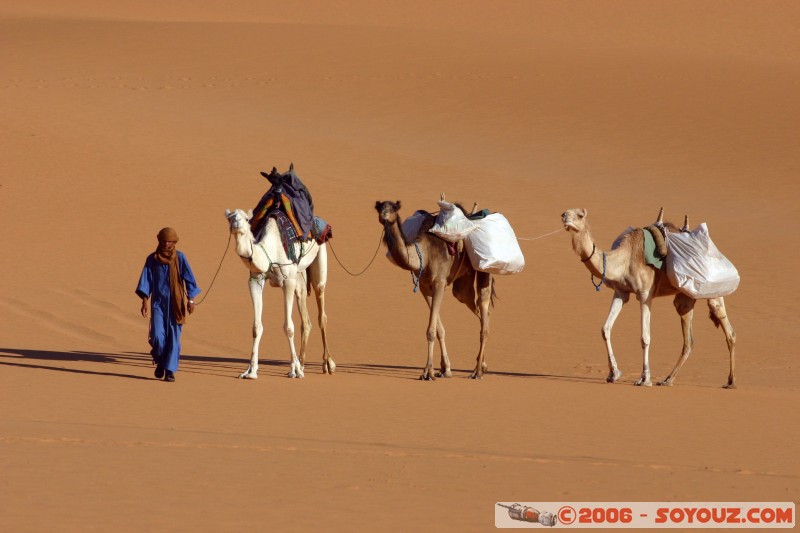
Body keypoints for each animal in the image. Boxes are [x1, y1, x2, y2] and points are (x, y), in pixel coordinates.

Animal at [224, 208, 334, 379]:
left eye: (246, 219)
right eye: (229, 218)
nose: (236, 223)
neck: (270, 250)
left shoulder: (287, 281)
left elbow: (289, 327)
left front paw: (294, 370)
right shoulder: (255, 280)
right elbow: (256, 328)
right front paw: (250, 371)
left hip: (320, 255)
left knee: (321, 306)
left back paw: (327, 364)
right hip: (299, 275)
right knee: (305, 317)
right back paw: (302, 364)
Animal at [375, 200, 495, 380]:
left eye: (393, 208)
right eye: (380, 207)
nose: (384, 215)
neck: (425, 254)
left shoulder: (439, 282)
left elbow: (431, 330)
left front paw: (427, 372)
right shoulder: (425, 287)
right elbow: (439, 329)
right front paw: (444, 369)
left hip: (483, 269)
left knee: (484, 309)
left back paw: (477, 371)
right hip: (463, 284)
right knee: (478, 310)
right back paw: (483, 366)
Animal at [561, 207, 736, 388]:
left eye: (580, 215)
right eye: (566, 212)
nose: (564, 217)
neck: (625, 258)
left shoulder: (645, 294)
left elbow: (645, 337)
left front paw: (645, 378)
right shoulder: (621, 292)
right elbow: (605, 329)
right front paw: (613, 374)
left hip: (712, 290)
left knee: (727, 329)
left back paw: (730, 381)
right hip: (685, 297)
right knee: (689, 340)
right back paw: (668, 379)